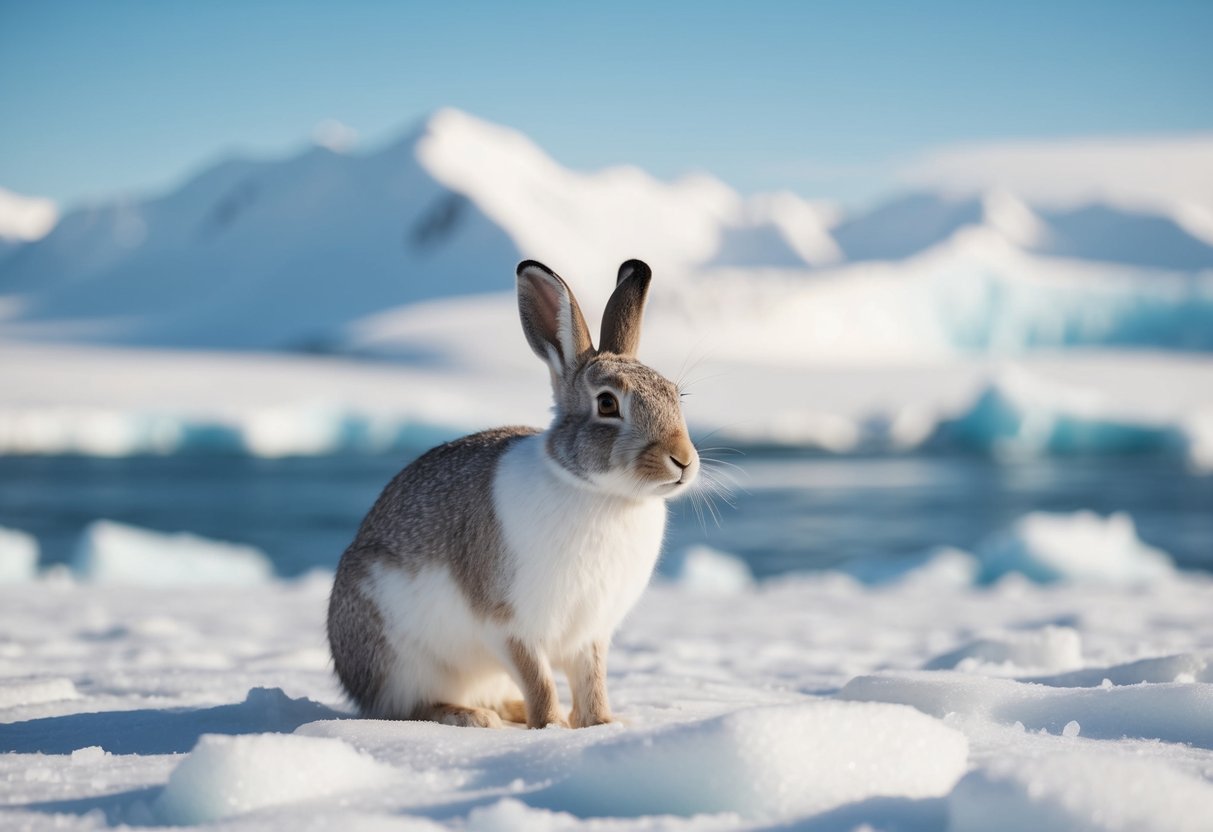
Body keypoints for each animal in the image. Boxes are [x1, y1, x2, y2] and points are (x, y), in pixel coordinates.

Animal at [327, 258, 699, 729]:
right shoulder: (510, 625)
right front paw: (552, 726)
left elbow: (591, 681)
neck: (597, 491)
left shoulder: (590, 633)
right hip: (402, 661)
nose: (683, 460)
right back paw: (469, 716)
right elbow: (538, 677)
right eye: (608, 404)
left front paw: (603, 724)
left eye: (676, 395)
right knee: (409, 707)